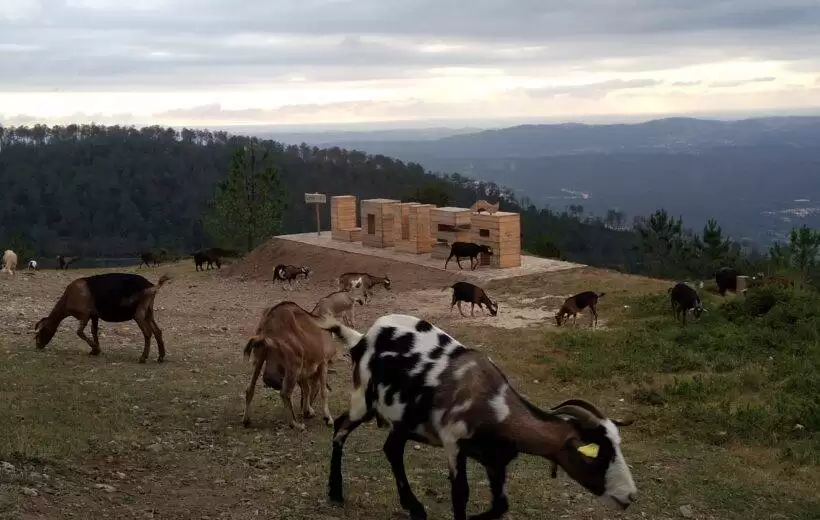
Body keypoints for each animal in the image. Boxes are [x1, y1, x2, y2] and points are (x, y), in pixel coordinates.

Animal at [34, 273, 171, 363]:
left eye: (38, 333)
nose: (38, 346)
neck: (68, 298)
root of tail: (152, 286)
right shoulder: (94, 315)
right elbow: (94, 331)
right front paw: (96, 350)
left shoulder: (85, 314)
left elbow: (79, 332)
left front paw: (95, 348)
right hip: (149, 311)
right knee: (157, 331)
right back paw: (161, 357)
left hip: (139, 312)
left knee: (148, 332)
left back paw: (143, 358)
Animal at [242, 301, 337, 430]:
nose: (305, 412)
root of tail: (267, 328)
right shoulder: (323, 362)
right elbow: (323, 391)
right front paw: (328, 418)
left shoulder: (303, 370)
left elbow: (306, 389)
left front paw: (308, 410)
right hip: (294, 363)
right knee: (285, 393)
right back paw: (295, 424)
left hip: (260, 357)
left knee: (249, 389)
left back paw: (246, 420)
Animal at [314, 313, 637, 519]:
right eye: (595, 454)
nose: (630, 497)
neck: (496, 405)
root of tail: (362, 338)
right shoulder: (454, 444)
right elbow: (460, 496)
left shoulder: (496, 460)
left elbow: (500, 506)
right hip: (363, 399)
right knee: (341, 428)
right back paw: (335, 492)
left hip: (404, 418)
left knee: (391, 449)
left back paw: (414, 508)